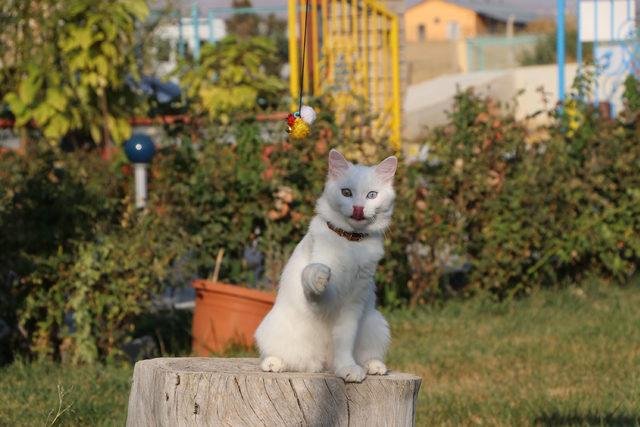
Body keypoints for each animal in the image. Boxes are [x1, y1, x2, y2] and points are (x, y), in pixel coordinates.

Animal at [254, 149, 396, 382]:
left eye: (371, 195)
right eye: (346, 192)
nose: (358, 209)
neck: (350, 242)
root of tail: (321, 364)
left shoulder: (354, 302)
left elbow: (345, 342)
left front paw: (348, 369)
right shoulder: (325, 296)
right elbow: (314, 279)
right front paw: (319, 277)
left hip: (376, 324)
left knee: (367, 355)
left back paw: (373, 366)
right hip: (274, 326)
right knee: (281, 356)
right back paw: (274, 363)